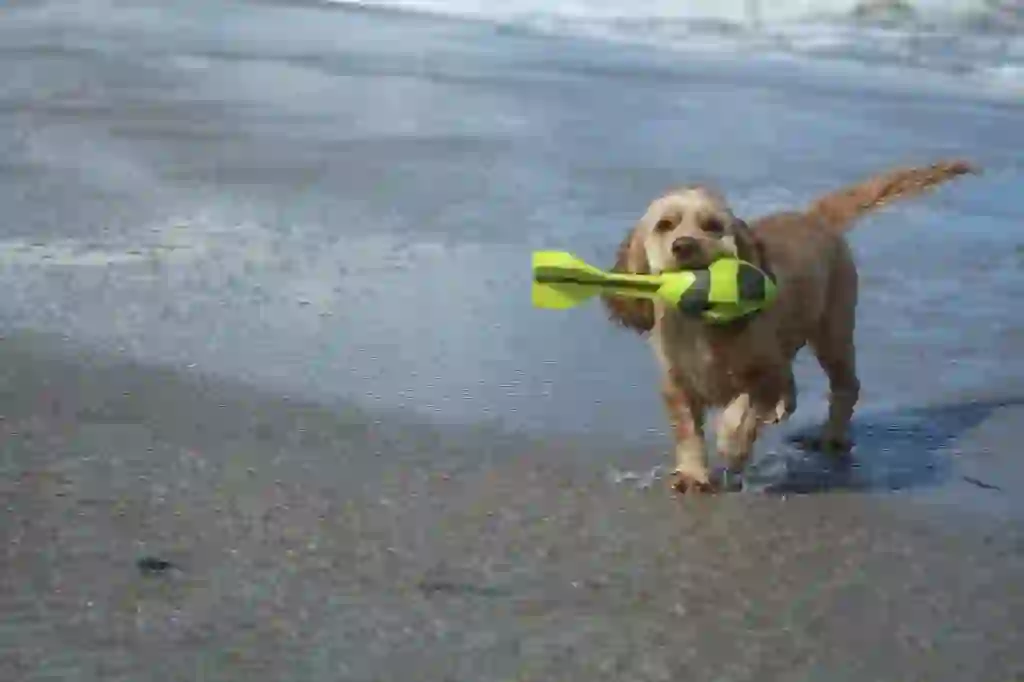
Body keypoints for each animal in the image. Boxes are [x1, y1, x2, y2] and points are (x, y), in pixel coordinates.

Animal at [602, 157, 978, 493]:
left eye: (712, 226)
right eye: (665, 225)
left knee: (846, 386)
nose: (683, 245)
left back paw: (830, 437)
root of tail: (813, 216)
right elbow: (688, 432)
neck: (701, 323)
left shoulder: (767, 374)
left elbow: (741, 414)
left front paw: (731, 444)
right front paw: (693, 475)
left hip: (833, 334)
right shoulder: (677, 384)